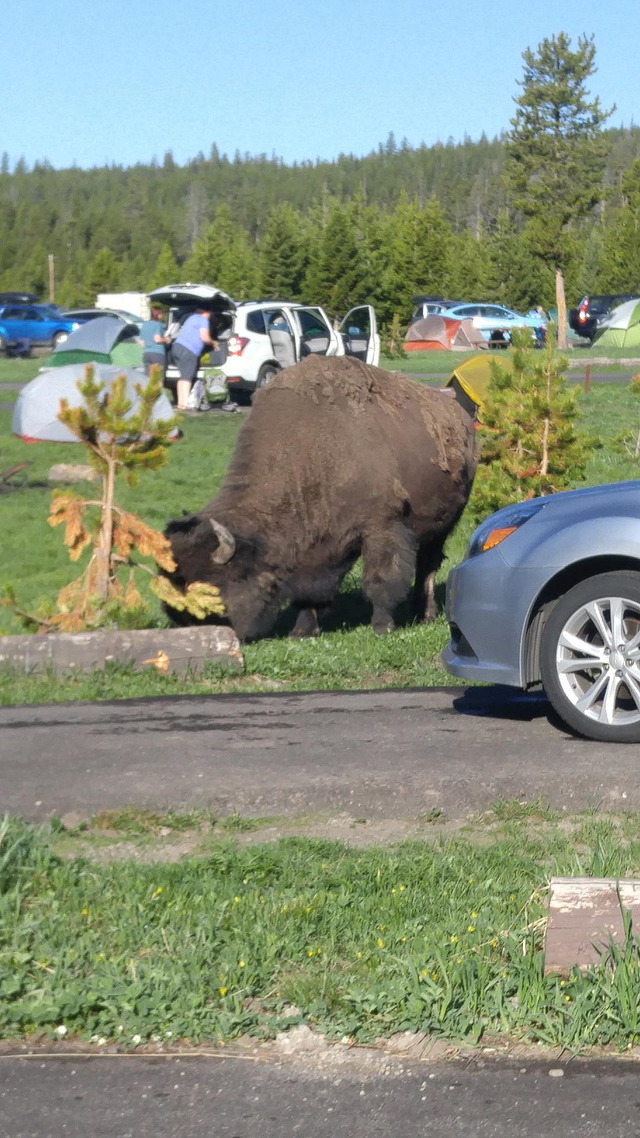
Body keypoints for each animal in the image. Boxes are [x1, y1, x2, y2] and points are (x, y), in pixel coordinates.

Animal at [161, 355, 476, 641]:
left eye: (213, 585)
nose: (186, 624)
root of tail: (459, 415)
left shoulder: (381, 528)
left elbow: (381, 579)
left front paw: (382, 626)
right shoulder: (312, 547)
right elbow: (308, 592)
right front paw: (302, 631)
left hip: (443, 527)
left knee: (427, 566)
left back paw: (424, 613)